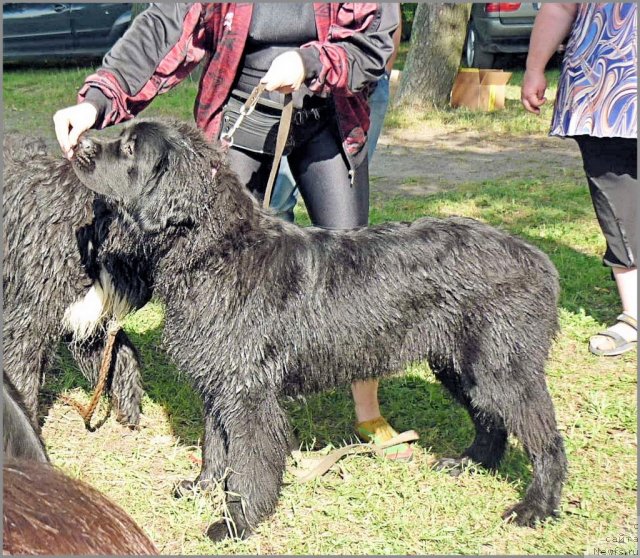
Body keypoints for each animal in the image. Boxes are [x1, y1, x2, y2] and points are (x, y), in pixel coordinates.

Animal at [72, 118, 568, 544]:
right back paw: (469, 463)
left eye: (130, 148)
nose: (79, 143)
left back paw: (535, 507)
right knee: (490, 419)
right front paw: (202, 487)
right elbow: (215, 447)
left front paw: (237, 522)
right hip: (459, 366)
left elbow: (248, 462)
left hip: (503, 369)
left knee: (545, 439)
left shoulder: (248, 395)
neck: (216, 253)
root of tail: (537, 258)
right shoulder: (217, 383)